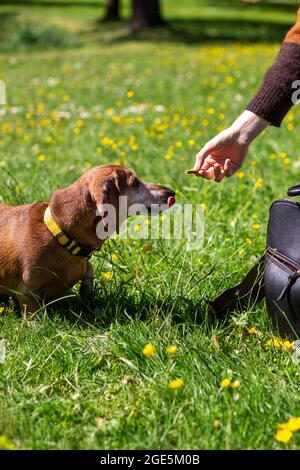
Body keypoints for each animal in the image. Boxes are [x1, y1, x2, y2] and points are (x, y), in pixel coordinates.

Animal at [0, 165, 176, 316]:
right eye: (135, 182)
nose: (171, 192)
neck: (60, 234)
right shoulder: (26, 292)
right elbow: (32, 311)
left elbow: (89, 270)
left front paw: (86, 292)